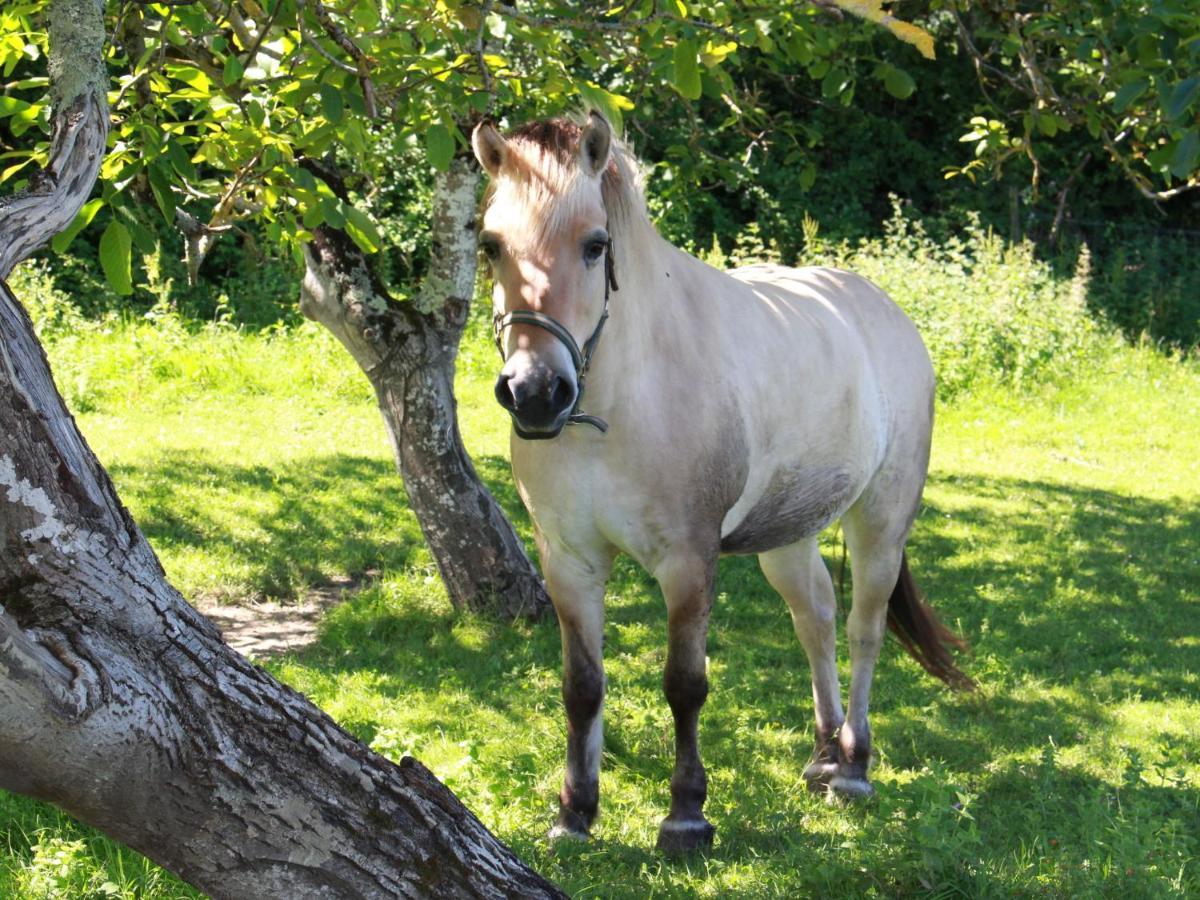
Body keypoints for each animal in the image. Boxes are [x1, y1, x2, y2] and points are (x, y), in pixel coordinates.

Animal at [472, 112, 969, 854]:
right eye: (490, 245)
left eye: (595, 246)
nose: (535, 393)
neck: (618, 404)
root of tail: (885, 311)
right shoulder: (570, 564)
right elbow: (581, 686)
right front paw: (574, 814)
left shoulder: (687, 562)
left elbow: (685, 684)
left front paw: (686, 815)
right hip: (788, 539)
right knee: (815, 618)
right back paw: (824, 755)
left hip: (881, 525)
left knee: (863, 627)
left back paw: (853, 765)